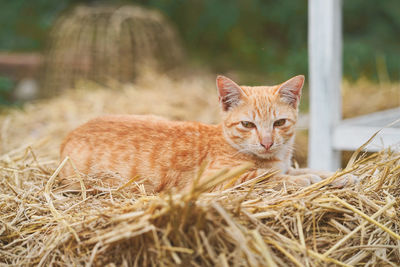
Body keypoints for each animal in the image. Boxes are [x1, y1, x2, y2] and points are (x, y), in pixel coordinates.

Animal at [59, 75, 354, 193]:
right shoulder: (215, 180)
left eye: (279, 122)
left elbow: (307, 169)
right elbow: (264, 176)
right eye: (248, 125)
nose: (267, 143)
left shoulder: (285, 165)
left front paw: (338, 176)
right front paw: (306, 180)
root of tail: (70, 133)